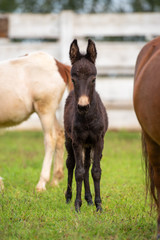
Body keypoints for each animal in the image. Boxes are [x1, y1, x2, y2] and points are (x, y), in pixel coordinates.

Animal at [0, 51, 72, 192]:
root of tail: (59, 65)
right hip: (51, 112)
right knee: (60, 134)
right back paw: (55, 181)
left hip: (45, 110)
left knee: (51, 140)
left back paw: (41, 184)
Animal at [63, 38, 107, 211]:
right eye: (73, 80)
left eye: (93, 79)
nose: (82, 106)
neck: (87, 119)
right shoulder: (77, 141)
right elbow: (79, 172)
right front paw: (77, 205)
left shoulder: (98, 140)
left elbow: (96, 171)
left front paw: (98, 205)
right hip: (68, 140)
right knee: (70, 164)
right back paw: (69, 197)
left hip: (89, 145)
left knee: (88, 164)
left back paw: (89, 198)